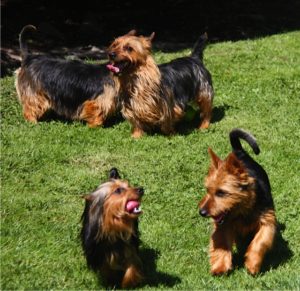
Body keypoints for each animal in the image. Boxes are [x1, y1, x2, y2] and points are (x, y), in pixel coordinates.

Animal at [198, 129, 278, 276]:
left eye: (221, 192)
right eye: (207, 190)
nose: (202, 212)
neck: (243, 210)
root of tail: (238, 151)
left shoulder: (267, 220)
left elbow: (259, 241)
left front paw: (252, 264)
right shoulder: (223, 225)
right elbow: (222, 243)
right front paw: (220, 266)